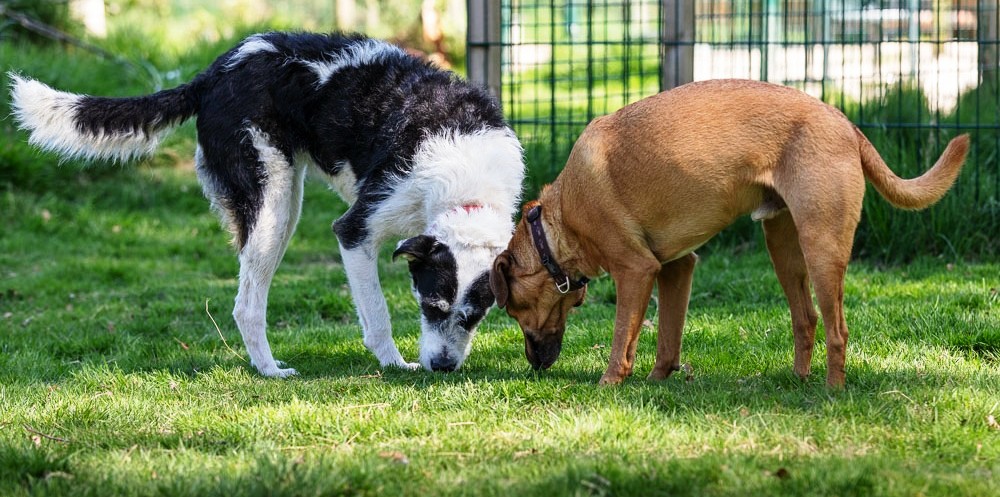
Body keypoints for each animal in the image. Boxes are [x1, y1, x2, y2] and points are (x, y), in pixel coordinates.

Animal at [10, 32, 524, 377]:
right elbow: (377, 314)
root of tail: (215, 71)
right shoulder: (355, 231)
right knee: (246, 306)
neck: (468, 193)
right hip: (273, 206)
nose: (443, 367)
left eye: (474, 316)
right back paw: (269, 369)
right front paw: (394, 363)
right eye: (430, 306)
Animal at [489, 79, 968, 387]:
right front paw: (659, 379)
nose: (535, 365)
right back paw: (798, 380)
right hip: (783, 248)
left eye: (513, 311)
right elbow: (666, 337)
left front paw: (611, 382)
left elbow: (622, 337)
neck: (560, 219)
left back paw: (833, 390)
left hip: (822, 248)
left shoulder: (635, 270)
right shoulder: (675, 268)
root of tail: (845, 122)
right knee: (806, 318)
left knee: (837, 330)